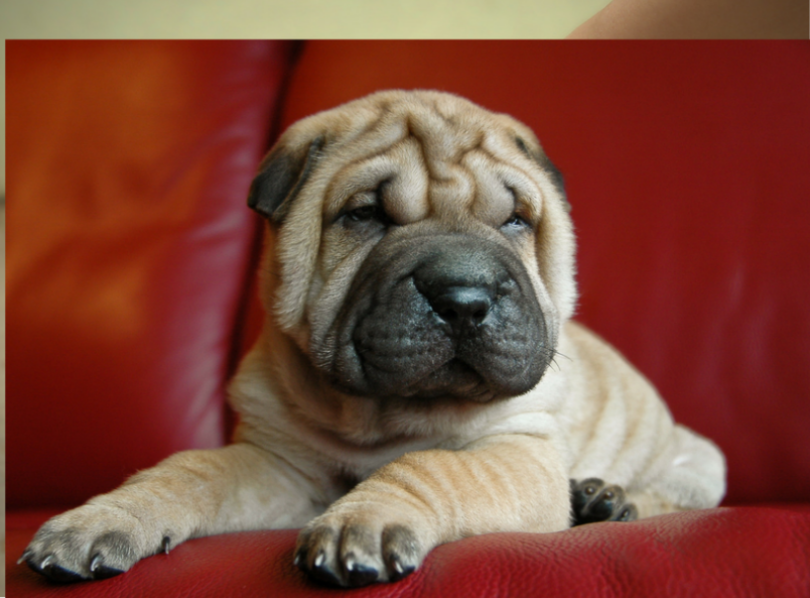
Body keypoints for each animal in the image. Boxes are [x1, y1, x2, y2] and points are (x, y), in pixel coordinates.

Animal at [22, 91, 724, 588]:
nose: (464, 297)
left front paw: (365, 518)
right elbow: (191, 470)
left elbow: (433, 464)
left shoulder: (516, 451)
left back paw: (607, 499)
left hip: (697, 457)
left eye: (516, 221)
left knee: (672, 496)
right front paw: (103, 517)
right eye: (366, 216)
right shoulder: (276, 464)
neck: (380, 416)